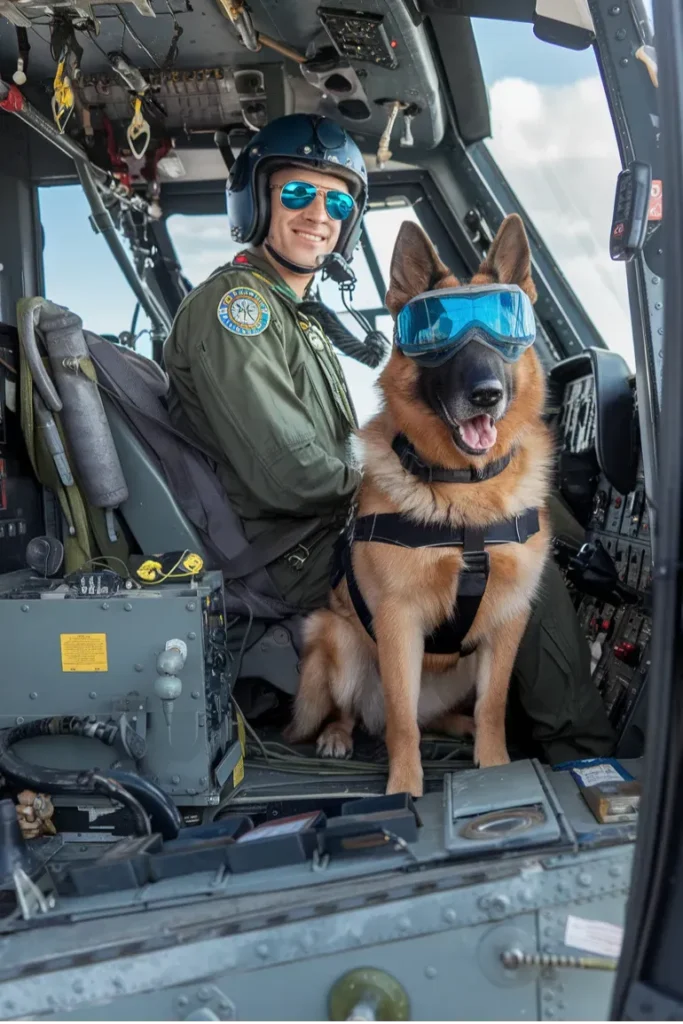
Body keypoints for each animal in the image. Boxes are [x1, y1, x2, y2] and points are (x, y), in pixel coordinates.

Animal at [286, 211, 552, 794]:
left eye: (505, 328)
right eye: (436, 336)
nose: (486, 394)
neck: (466, 493)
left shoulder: (509, 619)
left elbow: (493, 706)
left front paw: (496, 766)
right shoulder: (397, 620)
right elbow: (401, 719)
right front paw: (405, 787)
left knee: (443, 715)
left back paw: (459, 728)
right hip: (336, 636)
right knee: (365, 712)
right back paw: (337, 735)